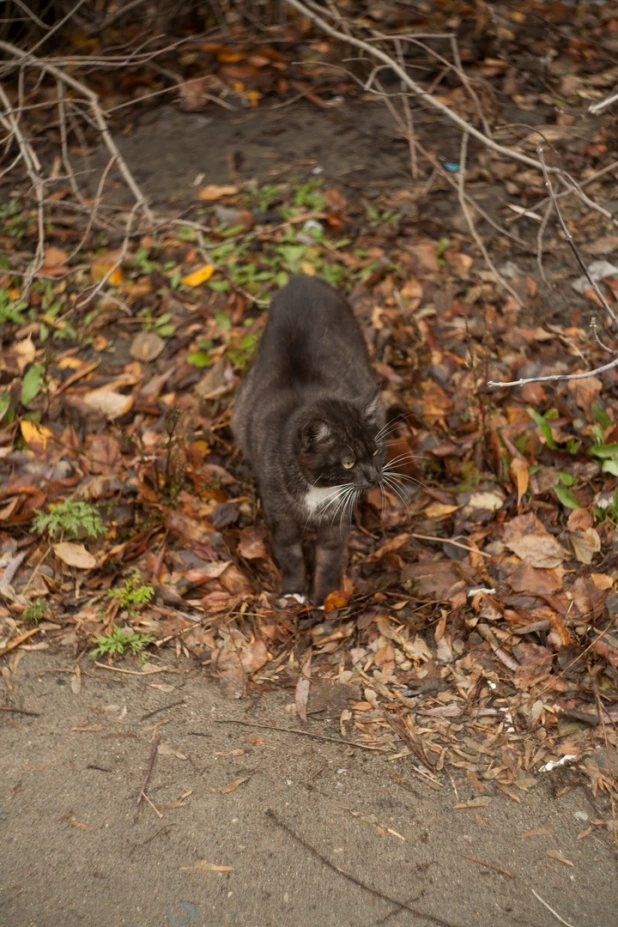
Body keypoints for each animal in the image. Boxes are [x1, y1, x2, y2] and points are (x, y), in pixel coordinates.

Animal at [231, 274, 384, 608]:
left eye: (375, 450)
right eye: (348, 462)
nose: (375, 476)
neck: (319, 492)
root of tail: (303, 279)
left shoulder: (338, 519)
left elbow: (330, 556)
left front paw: (325, 595)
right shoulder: (280, 515)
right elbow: (289, 553)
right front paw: (293, 590)